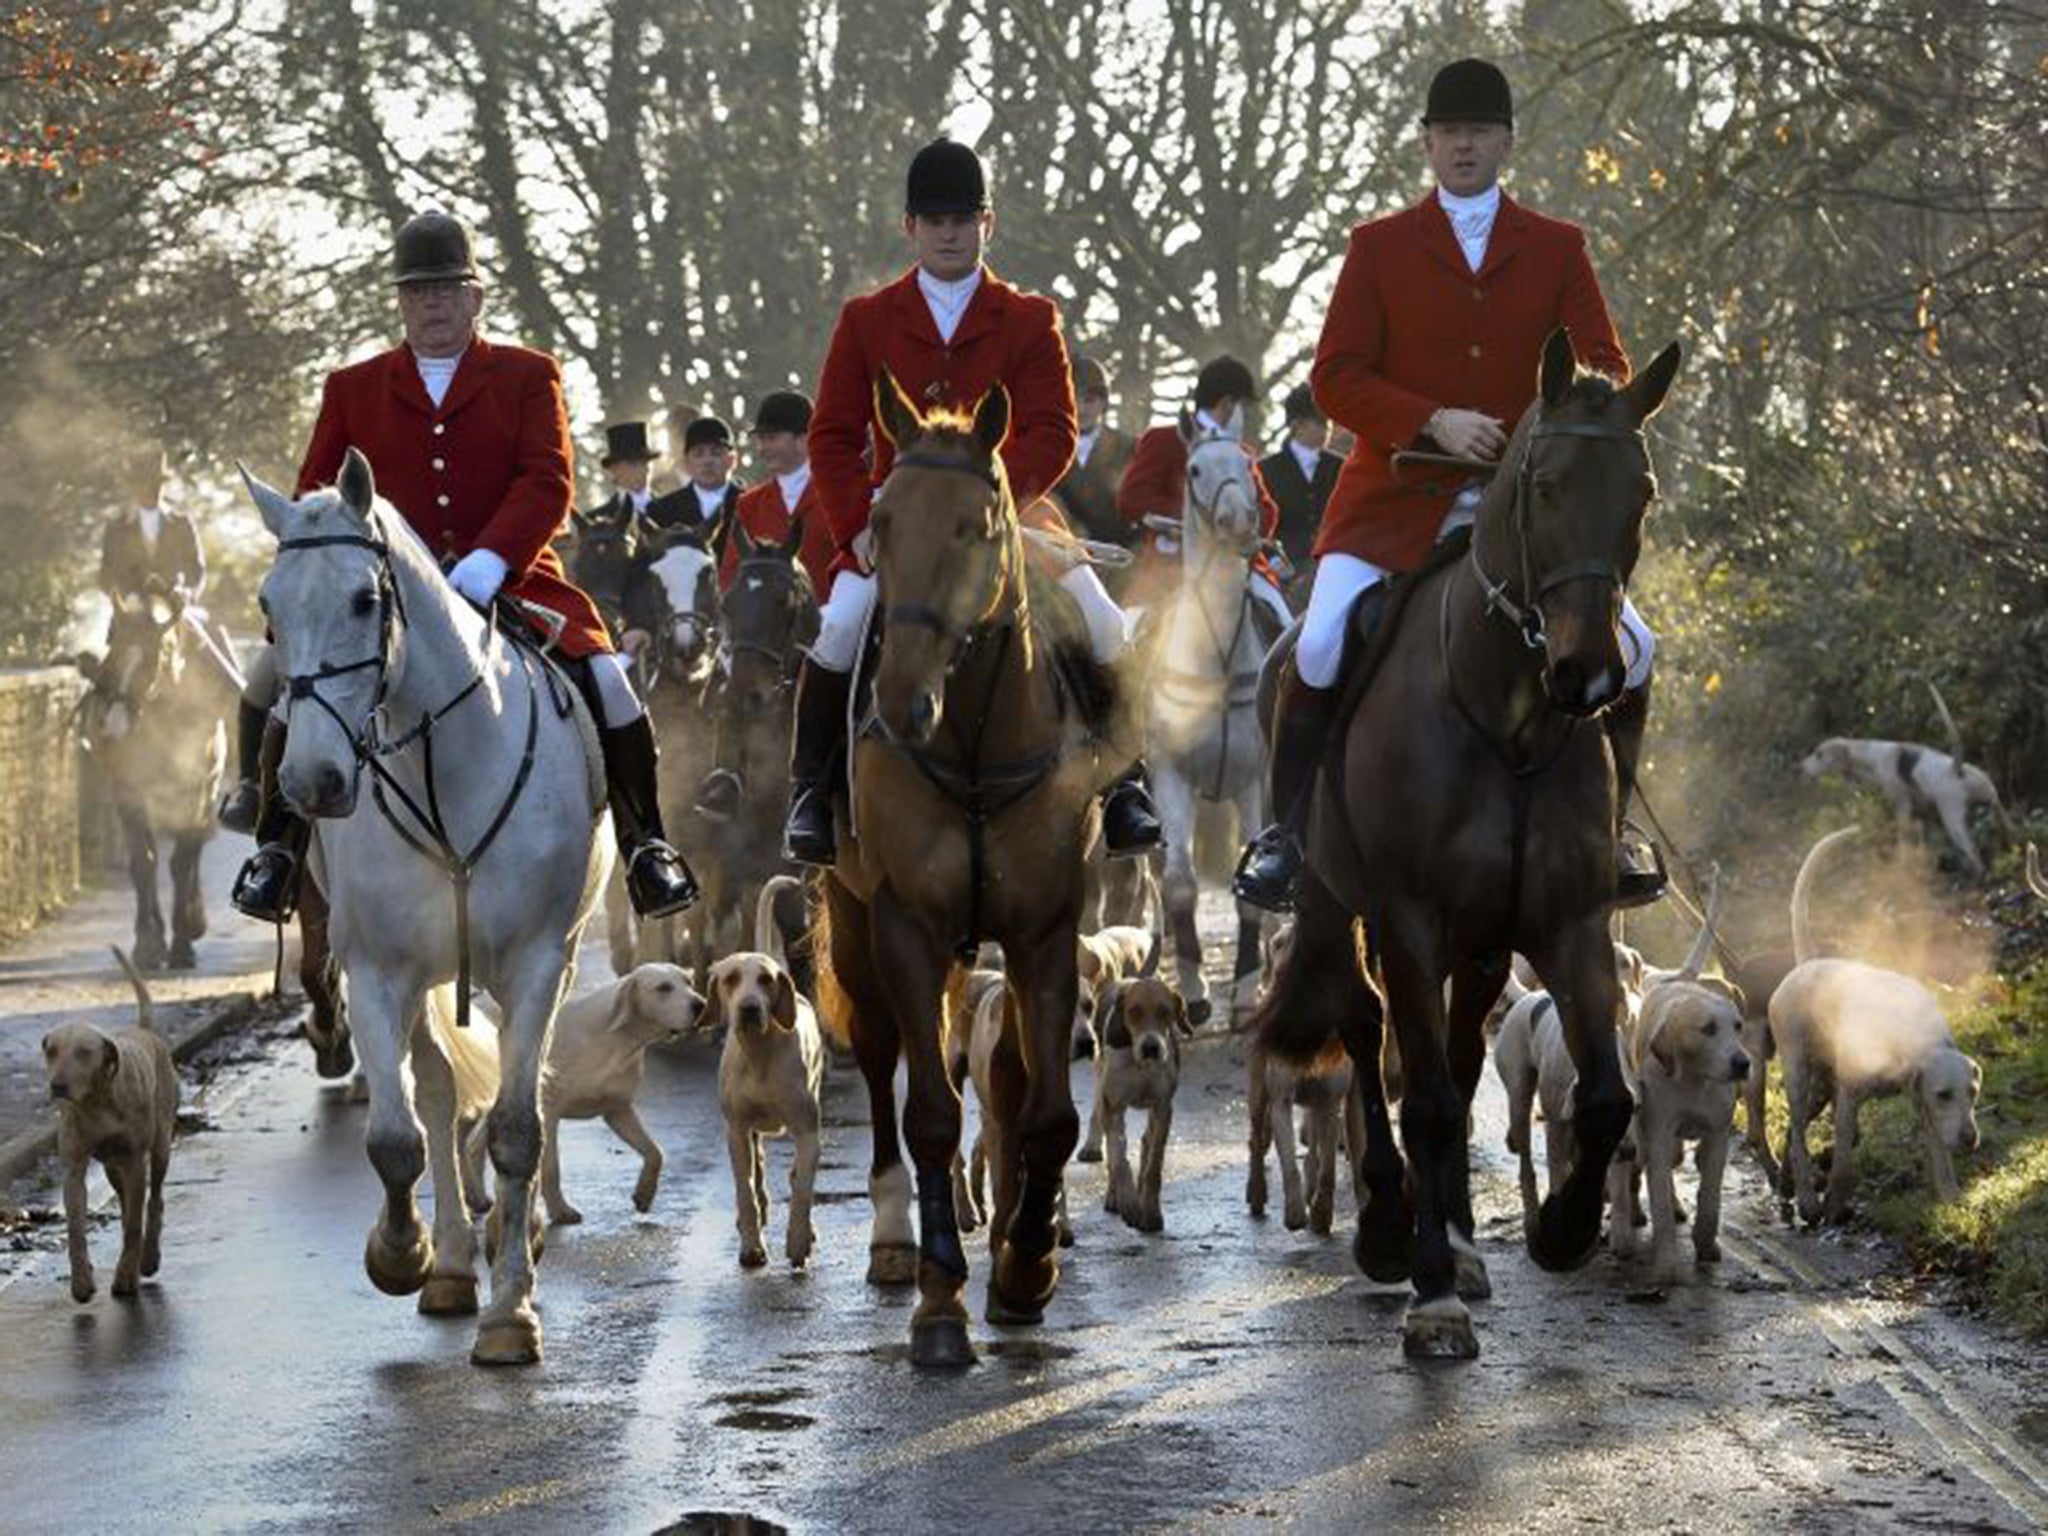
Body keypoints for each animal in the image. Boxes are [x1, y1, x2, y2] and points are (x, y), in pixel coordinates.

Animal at [242, 450, 602, 1368]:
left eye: (364, 600)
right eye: (267, 606)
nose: (312, 781)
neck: (445, 770)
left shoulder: (538, 962)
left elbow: (516, 1129)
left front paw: (512, 1311)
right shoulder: (376, 972)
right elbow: (396, 1138)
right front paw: (401, 1253)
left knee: (511, 1094)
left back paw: (515, 1235)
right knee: (437, 1100)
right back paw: (447, 1263)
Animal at [815, 370, 1138, 1368]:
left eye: (978, 525)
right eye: (882, 521)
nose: (900, 701)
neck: (967, 738)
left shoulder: (1047, 928)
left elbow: (1048, 1112)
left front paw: (1025, 1266)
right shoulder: (907, 928)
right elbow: (927, 1111)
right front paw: (941, 1299)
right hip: (855, 927)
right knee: (885, 1062)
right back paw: (896, 1238)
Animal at [1261, 333, 1679, 1359]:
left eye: (1642, 490)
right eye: (1545, 484)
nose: (1587, 672)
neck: (1510, 718)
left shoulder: (1570, 923)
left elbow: (1602, 1097)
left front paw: (1559, 1232)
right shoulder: (1407, 919)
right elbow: (1428, 1101)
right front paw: (1431, 1293)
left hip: (1484, 942)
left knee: (1450, 1046)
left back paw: (1449, 1234)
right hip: (1334, 905)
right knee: (1367, 1028)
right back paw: (1387, 1227)